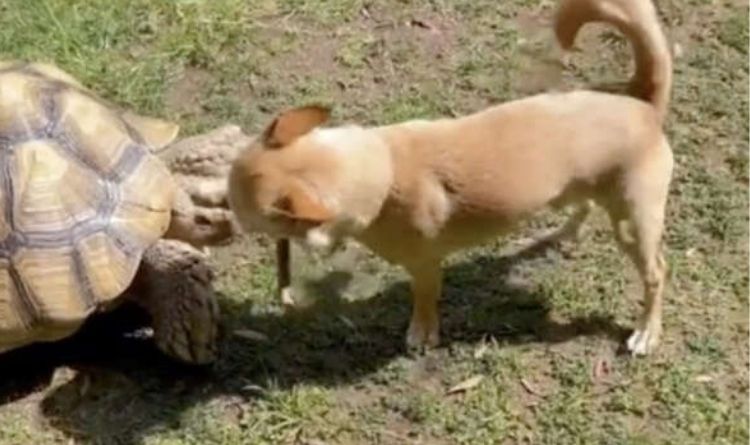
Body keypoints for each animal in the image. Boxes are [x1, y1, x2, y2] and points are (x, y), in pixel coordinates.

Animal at [229, 0, 676, 356]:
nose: (221, 214)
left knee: (656, 274)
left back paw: (647, 333)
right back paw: (561, 235)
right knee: (581, 206)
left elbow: (424, 301)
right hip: (578, 186)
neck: (379, 167)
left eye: (236, 207)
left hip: (633, 225)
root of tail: (641, 102)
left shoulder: (426, 264)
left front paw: (422, 334)